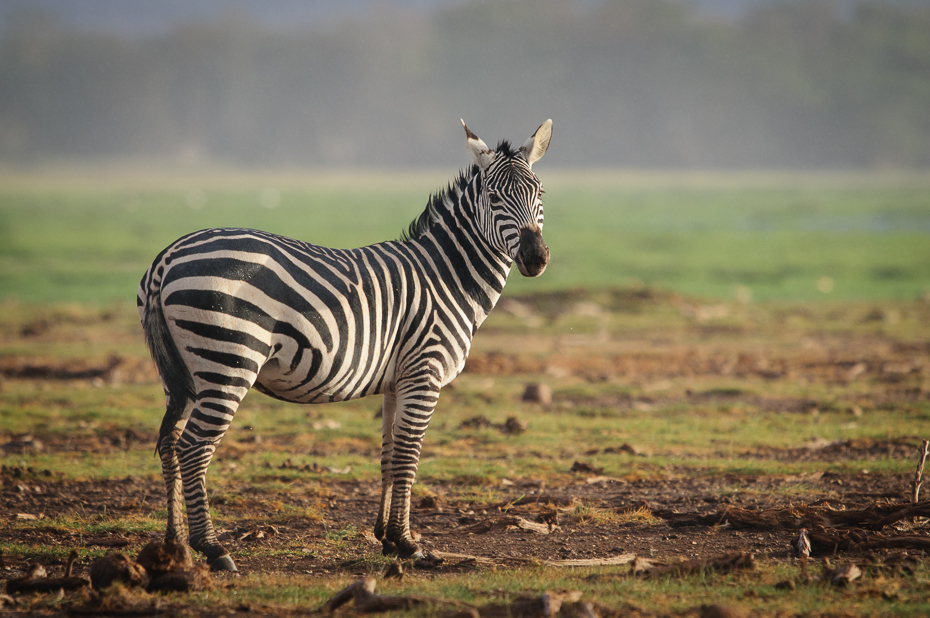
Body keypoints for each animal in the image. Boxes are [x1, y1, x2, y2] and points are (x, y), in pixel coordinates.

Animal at [138, 118, 552, 572]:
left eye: (541, 194)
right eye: (494, 198)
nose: (535, 257)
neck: (447, 276)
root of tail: (167, 257)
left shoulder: (397, 380)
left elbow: (390, 454)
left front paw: (387, 538)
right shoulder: (424, 373)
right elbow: (409, 456)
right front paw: (408, 543)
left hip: (180, 374)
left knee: (169, 445)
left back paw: (175, 545)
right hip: (228, 360)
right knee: (194, 448)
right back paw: (213, 549)